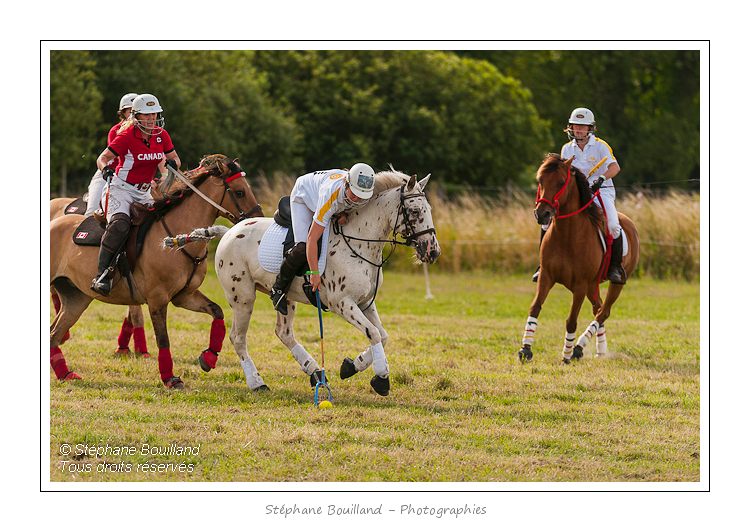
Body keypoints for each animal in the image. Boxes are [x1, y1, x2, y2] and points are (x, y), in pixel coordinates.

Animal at [49, 156, 264, 388]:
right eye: (240, 192)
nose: (258, 218)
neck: (178, 238)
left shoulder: (184, 296)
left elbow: (217, 312)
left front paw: (209, 357)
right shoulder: (157, 299)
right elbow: (162, 339)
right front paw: (169, 378)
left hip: (77, 298)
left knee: (53, 333)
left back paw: (65, 374)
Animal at [524, 152, 640, 364]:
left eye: (561, 182)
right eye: (540, 180)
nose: (542, 214)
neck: (567, 234)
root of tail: (628, 222)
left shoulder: (579, 284)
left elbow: (571, 320)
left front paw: (566, 355)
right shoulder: (546, 277)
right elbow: (534, 308)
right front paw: (525, 349)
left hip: (614, 283)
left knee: (604, 312)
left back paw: (579, 347)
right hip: (592, 285)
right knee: (599, 308)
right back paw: (599, 350)